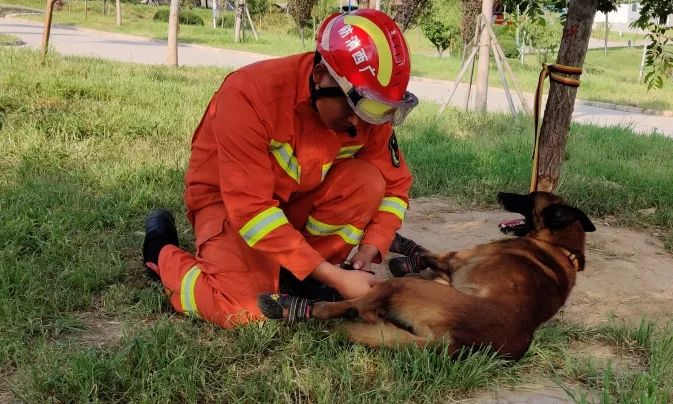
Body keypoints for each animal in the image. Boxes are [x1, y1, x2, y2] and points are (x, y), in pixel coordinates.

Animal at [308, 193, 596, 360]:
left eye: (529, 197)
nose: (501, 193)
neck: (561, 247)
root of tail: (454, 343)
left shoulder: (455, 259)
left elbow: (425, 253)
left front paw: (403, 254)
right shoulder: (450, 271)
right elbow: (426, 256)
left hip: (401, 286)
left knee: (361, 305)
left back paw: (324, 307)